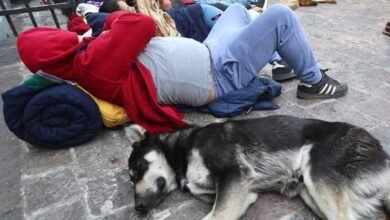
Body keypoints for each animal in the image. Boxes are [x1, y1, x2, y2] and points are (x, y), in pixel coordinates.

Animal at [128, 116, 390, 219]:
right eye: (132, 177)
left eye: (137, 169)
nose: (138, 207)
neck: (185, 147)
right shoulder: (241, 191)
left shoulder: (234, 175)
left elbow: (215, 216)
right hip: (309, 193)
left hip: (317, 175)